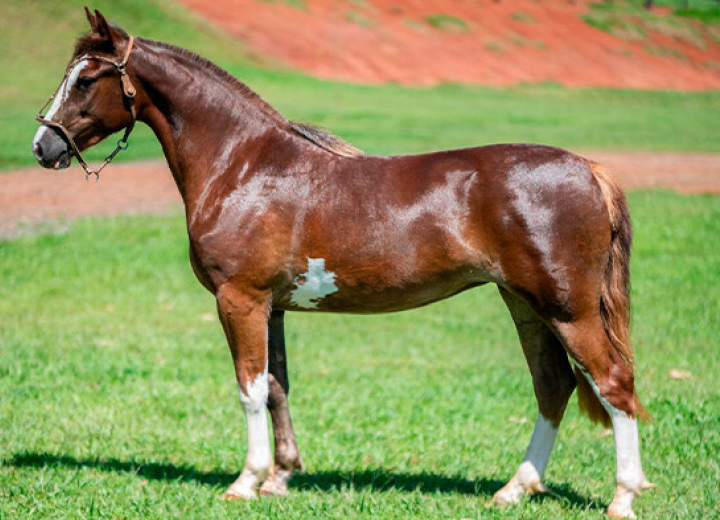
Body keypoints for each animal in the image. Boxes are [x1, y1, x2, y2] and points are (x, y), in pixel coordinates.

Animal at [32, 10, 652, 516]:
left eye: (86, 79)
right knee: (553, 387)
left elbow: (249, 389)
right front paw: (280, 479)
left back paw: (623, 497)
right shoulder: (272, 306)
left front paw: (246, 481)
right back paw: (514, 489)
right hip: (525, 305)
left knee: (614, 384)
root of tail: (590, 168)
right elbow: (277, 386)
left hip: (567, 309)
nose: (43, 146)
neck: (244, 164)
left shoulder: (240, 299)